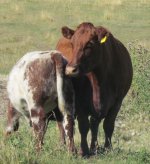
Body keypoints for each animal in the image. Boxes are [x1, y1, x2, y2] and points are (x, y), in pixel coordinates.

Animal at [61, 22, 132, 155]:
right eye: (72, 44)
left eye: (89, 44)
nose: (70, 70)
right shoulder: (80, 103)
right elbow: (83, 126)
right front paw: (84, 150)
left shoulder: (117, 102)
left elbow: (108, 125)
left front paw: (107, 148)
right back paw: (65, 146)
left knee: (94, 124)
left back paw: (94, 147)